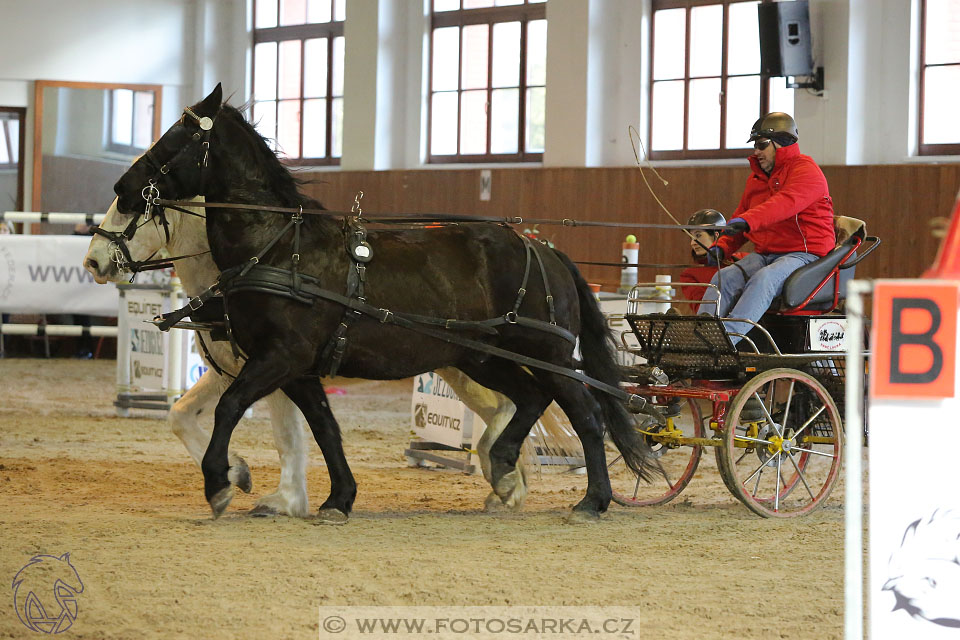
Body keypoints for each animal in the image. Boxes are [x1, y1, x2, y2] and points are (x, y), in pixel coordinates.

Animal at [83, 198, 528, 516]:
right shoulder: (231, 371)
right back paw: (506, 485)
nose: (92, 261)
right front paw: (240, 473)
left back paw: (504, 479)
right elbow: (180, 415)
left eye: (128, 207)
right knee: (509, 406)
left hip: (467, 367)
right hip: (462, 365)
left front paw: (280, 497)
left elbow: (287, 435)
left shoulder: (274, 366)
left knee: (510, 405)